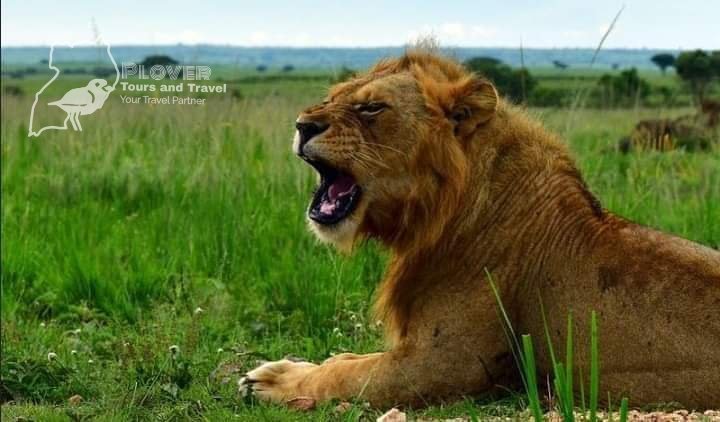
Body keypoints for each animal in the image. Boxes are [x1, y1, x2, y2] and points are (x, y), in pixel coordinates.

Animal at [243, 49, 720, 409]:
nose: (302, 125)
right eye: (332, 97)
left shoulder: (444, 365)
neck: (435, 217)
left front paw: (272, 381)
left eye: (371, 107)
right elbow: (346, 360)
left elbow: (345, 374)